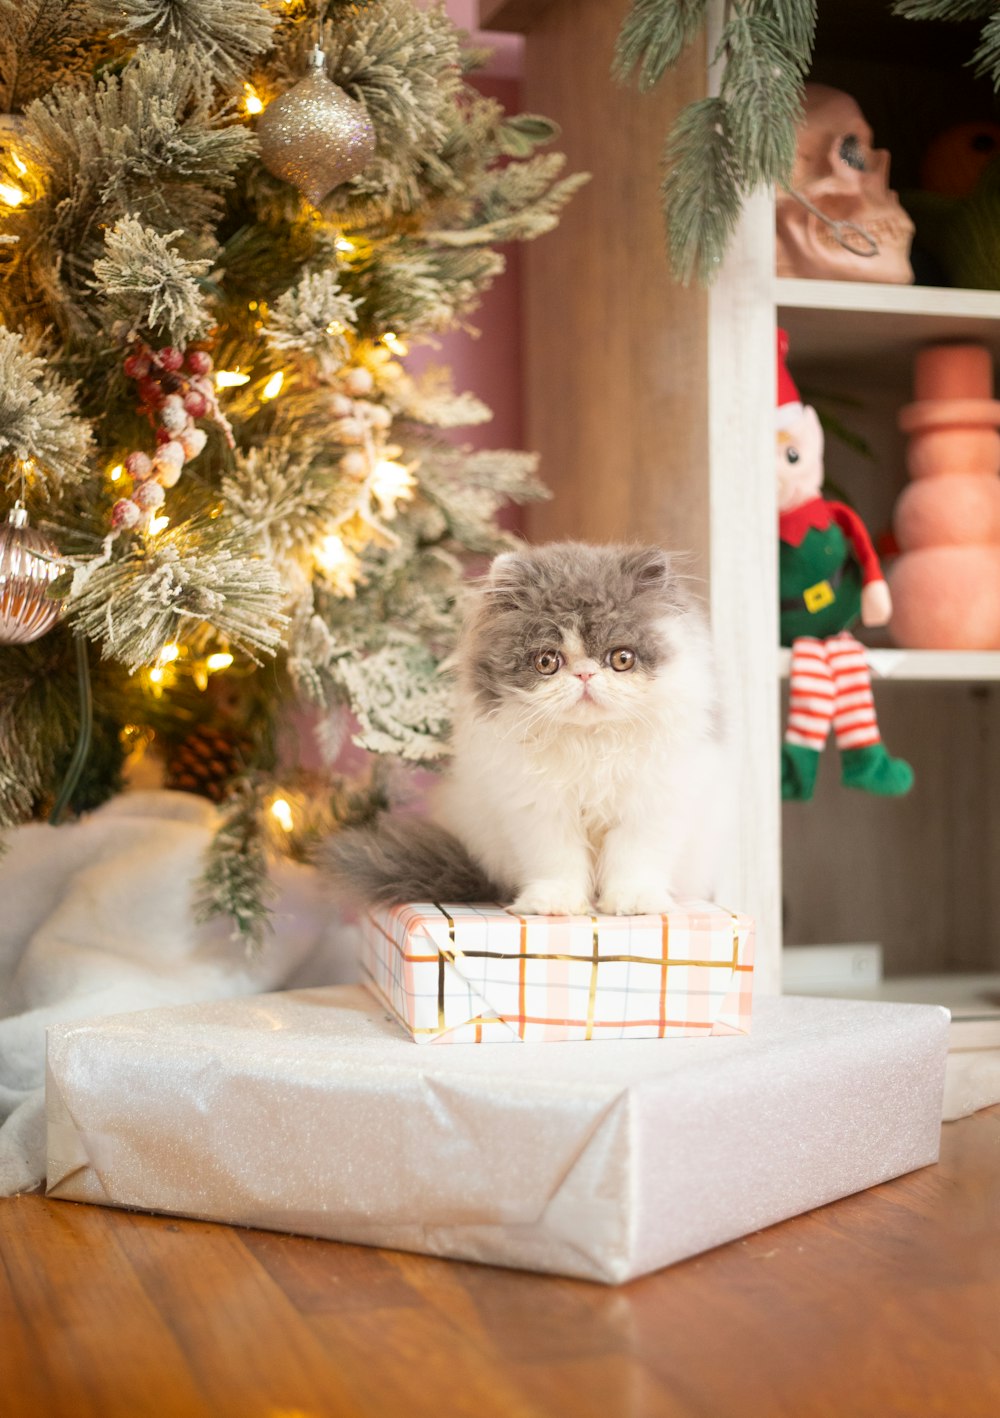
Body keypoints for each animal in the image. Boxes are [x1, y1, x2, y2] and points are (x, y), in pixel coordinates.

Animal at [327, 536, 726, 913]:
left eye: (622, 658)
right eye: (547, 661)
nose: (585, 674)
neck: (587, 743)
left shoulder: (649, 803)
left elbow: (634, 860)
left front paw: (635, 903)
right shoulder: (540, 810)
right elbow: (558, 863)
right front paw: (554, 904)